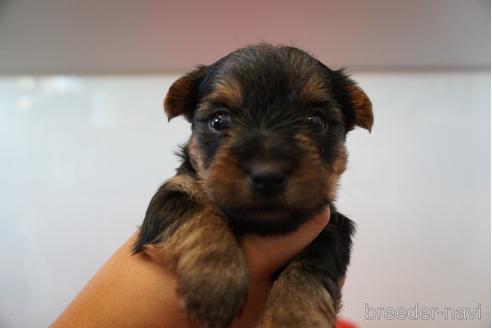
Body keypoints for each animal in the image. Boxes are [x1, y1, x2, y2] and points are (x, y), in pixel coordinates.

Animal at [133, 43, 370, 328]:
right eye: (219, 120)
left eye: (315, 121)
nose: (267, 175)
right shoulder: (174, 192)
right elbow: (198, 214)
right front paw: (215, 280)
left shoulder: (334, 226)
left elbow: (312, 266)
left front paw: (294, 316)